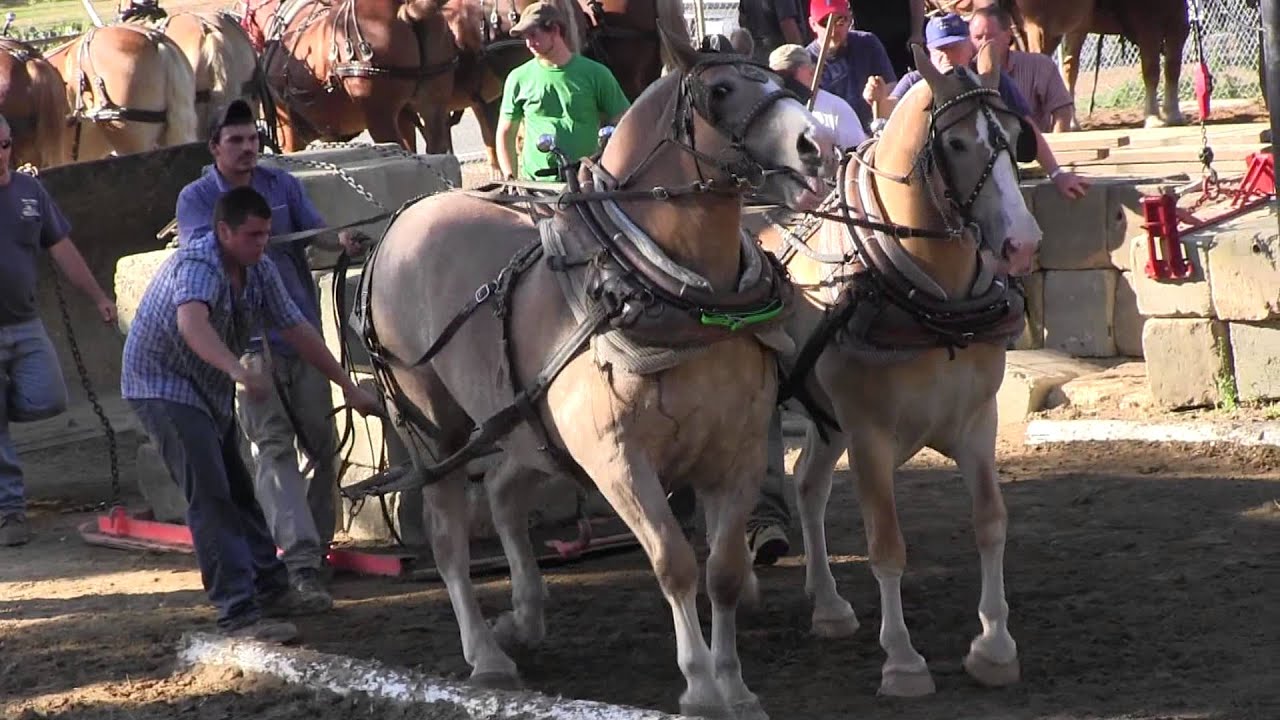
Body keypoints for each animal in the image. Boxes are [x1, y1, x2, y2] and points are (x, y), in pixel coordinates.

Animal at [353, 28, 835, 718]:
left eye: (787, 84)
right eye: (719, 91)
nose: (818, 147)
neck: (660, 288)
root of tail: (404, 217)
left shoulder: (737, 453)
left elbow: (722, 571)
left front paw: (736, 686)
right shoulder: (617, 459)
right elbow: (674, 563)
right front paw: (700, 687)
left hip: (522, 422)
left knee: (504, 494)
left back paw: (525, 616)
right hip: (434, 427)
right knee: (448, 536)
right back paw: (487, 655)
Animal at [747, 42, 1041, 696]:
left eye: (1015, 135)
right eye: (955, 143)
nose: (1022, 245)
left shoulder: (977, 424)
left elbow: (991, 523)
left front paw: (995, 646)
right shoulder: (870, 436)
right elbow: (887, 546)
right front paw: (903, 661)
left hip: (825, 417)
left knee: (808, 485)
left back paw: (828, 604)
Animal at [997, 0, 1191, 128]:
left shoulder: (1179, 24)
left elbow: (1173, 68)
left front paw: (1173, 115)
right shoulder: (1147, 25)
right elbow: (1151, 70)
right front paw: (1153, 117)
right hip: (1041, 27)